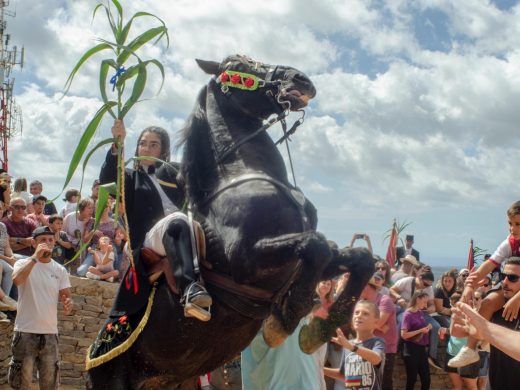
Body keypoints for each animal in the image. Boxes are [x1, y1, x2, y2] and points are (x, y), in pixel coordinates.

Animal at [88, 55, 374, 390]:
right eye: (240, 65)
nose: (300, 79)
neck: (242, 174)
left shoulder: (294, 264)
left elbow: (358, 258)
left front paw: (321, 328)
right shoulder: (245, 259)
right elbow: (316, 246)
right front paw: (286, 318)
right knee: (177, 227)